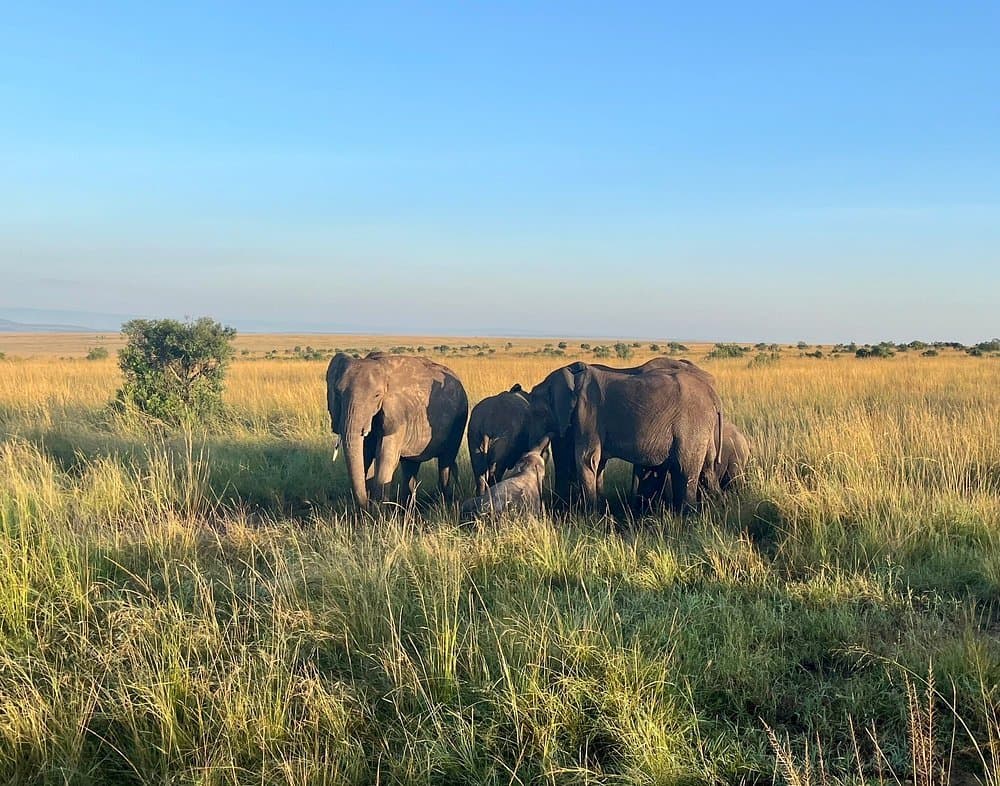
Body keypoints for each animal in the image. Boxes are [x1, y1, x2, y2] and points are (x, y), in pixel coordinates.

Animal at [326, 352, 469, 509]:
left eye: (377, 395)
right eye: (337, 393)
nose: (366, 504)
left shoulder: (397, 414)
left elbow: (385, 456)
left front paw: (378, 510)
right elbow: (365, 454)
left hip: (459, 417)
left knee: (445, 460)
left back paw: (442, 503)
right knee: (410, 465)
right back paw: (407, 508)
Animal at [526, 357, 717, 504]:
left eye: (537, 413)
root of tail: (712, 394)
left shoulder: (587, 412)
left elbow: (587, 459)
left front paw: (589, 515)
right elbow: (597, 463)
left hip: (692, 425)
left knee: (685, 470)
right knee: (707, 467)